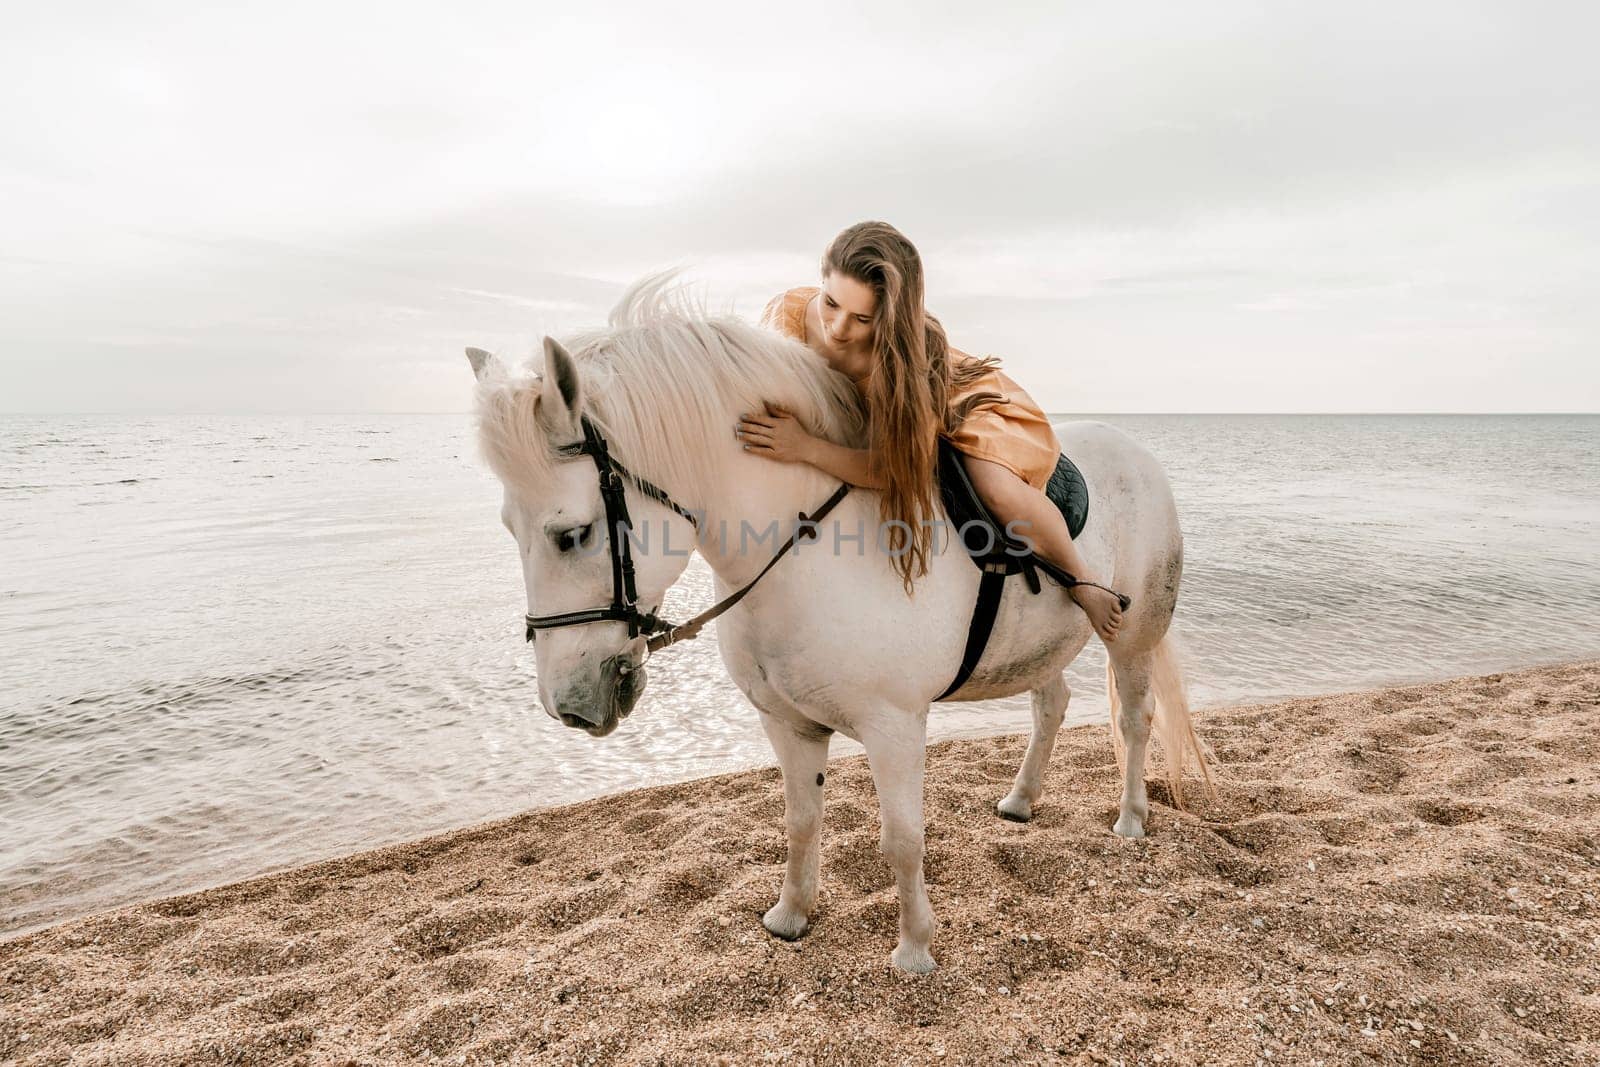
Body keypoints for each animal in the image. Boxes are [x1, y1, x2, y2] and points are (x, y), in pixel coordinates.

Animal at [464, 278, 1209, 979]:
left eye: (572, 534)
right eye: (508, 527)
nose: (570, 703)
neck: (806, 546)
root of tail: (1135, 449)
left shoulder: (895, 726)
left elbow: (902, 838)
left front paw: (914, 949)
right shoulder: (787, 724)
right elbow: (801, 821)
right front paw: (791, 915)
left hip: (1133, 638)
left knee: (1135, 719)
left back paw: (1131, 816)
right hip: (1037, 651)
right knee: (1051, 704)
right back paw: (1022, 799)